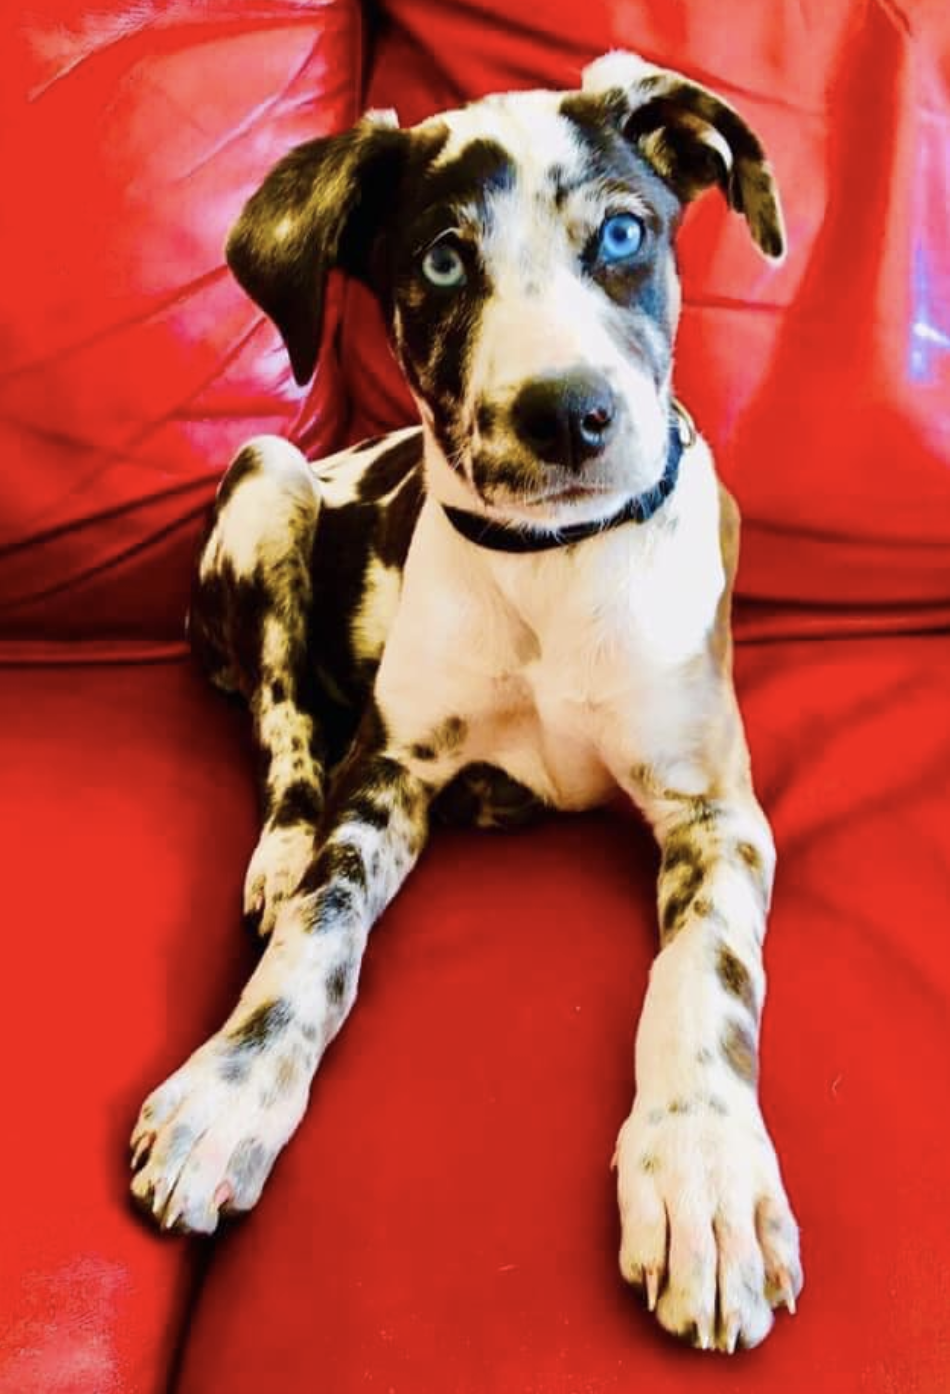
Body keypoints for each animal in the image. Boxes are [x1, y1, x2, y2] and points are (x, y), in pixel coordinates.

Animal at [129, 51, 797, 1349]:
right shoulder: (387, 772)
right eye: (441, 260)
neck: (557, 563)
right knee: (284, 728)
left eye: (623, 232)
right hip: (267, 478)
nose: (568, 414)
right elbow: (316, 932)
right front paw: (228, 1087)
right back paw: (277, 849)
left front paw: (701, 1173)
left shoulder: (717, 811)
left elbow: (703, 974)